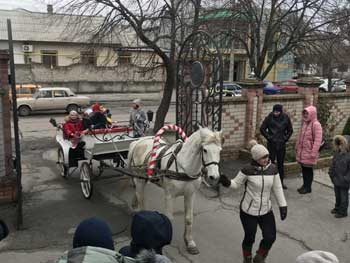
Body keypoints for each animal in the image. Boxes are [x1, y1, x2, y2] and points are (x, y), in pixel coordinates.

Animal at [127, 128, 223, 256]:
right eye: (205, 150)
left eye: (220, 150)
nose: (214, 177)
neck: (185, 167)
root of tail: (138, 141)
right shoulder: (169, 196)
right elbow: (169, 218)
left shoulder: (190, 195)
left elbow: (189, 218)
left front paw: (190, 242)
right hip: (140, 180)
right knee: (140, 196)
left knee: (137, 193)